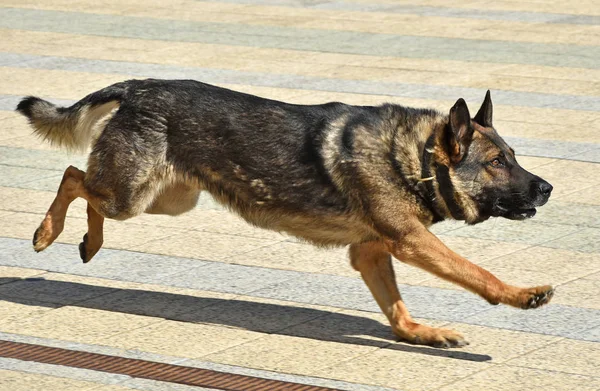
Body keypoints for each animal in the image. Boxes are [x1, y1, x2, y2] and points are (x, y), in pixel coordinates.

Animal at [17, 79, 552, 346]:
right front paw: (521, 294)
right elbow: (476, 272)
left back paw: (89, 241)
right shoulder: (411, 241)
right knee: (73, 177)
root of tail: (136, 87)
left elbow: (397, 309)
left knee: (84, 183)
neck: (416, 157)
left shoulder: (371, 252)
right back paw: (48, 232)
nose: (548, 188)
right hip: (132, 196)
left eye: (513, 157)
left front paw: (420, 334)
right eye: (497, 163)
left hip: (167, 200)